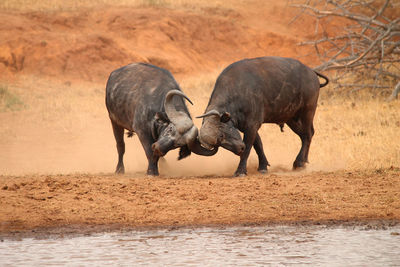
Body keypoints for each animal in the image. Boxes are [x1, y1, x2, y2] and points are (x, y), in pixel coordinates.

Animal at [197, 56, 328, 177]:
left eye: (222, 134)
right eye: (218, 144)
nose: (239, 149)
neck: (237, 91)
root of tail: (311, 72)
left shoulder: (252, 125)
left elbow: (248, 148)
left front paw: (240, 171)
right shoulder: (248, 126)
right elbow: (258, 145)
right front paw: (263, 166)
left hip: (307, 112)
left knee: (308, 134)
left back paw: (299, 163)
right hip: (291, 118)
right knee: (304, 135)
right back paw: (303, 162)